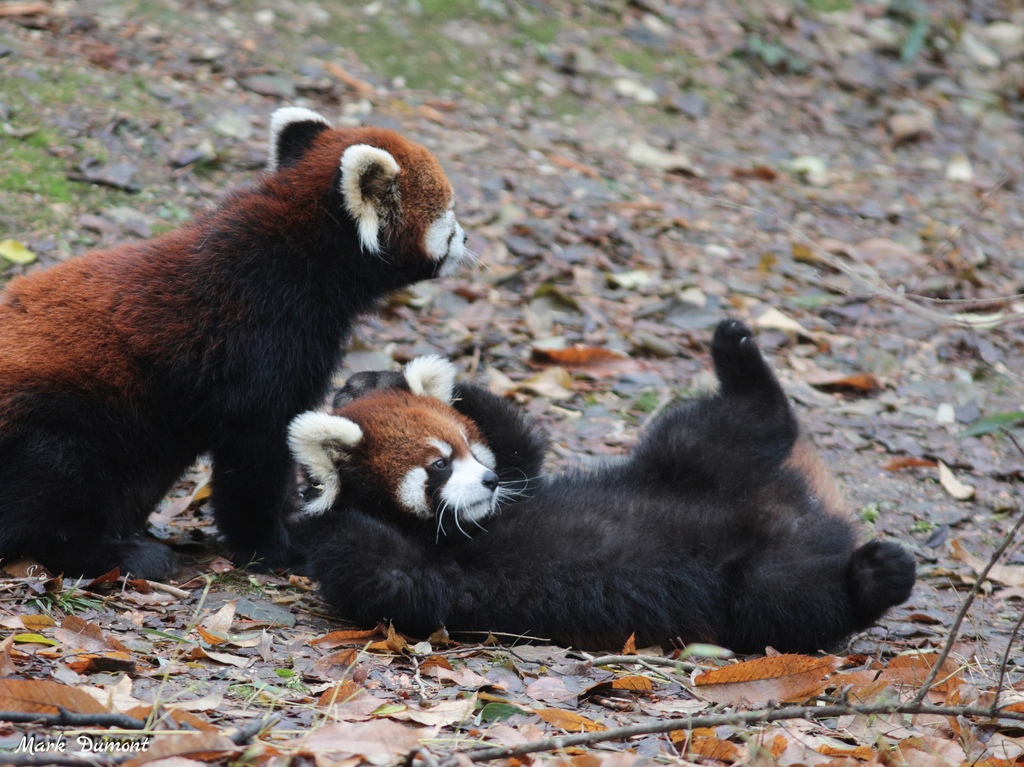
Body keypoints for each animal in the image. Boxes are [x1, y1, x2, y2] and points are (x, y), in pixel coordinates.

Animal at [0, 106, 472, 580]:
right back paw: (119, 554)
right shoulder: (259, 341)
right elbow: (255, 457)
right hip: (59, 423)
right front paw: (276, 548)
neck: (306, 258)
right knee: (57, 483)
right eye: (450, 213)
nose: (468, 239)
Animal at [288, 319, 916, 654]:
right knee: (795, 602)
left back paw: (738, 355)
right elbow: (379, 573)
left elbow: (522, 444)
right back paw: (875, 575)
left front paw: (381, 379)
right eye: (438, 467)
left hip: (689, 463)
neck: (463, 528)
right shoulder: (407, 575)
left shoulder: (521, 477)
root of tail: (802, 514)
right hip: (749, 586)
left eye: (469, 449)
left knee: (733, 426)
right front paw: (325, 497)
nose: (487, 481)